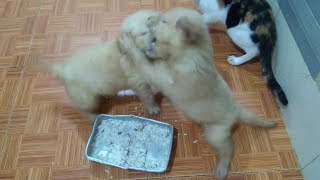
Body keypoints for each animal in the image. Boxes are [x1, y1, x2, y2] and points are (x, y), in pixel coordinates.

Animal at [119, 7, 276, 180]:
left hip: (215, 134)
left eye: (164, 21)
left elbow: (142, 60)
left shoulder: (160, 76)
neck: (188, 56)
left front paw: (128, 42)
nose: (147, 18)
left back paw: (222, 168)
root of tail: (237, 111)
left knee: (229, 147)